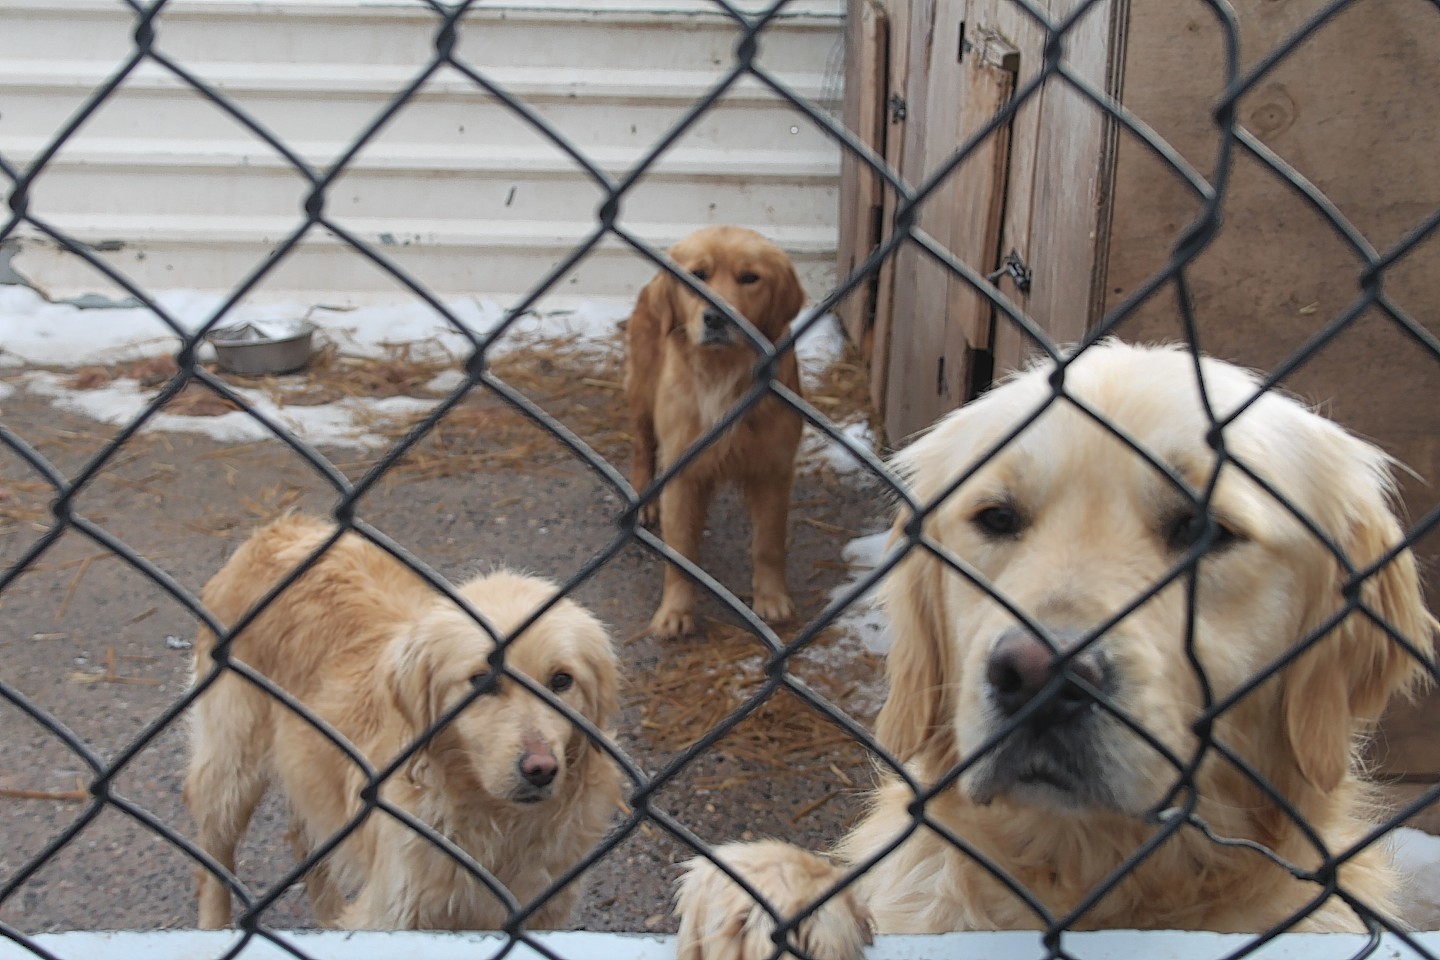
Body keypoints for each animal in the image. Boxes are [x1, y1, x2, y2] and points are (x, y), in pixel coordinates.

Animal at [184, 518, 619, 932]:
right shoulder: (395, 909)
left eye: (561, 680)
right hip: (231, 770)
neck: (495, 822)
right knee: (213, 857)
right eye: (482, 679)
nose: (541, 769)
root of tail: (275, 531)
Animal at [627, 227, 812, 639]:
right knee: (643, 447)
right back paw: (644, 500)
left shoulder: (773, 470)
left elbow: (768, 543)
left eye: (750, 278)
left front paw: (772, 599)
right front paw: (675, 611)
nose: (716, 317)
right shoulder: (682, 472)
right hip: (643, 397)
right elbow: (681, 551)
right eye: (698, 275)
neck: (723, 373)